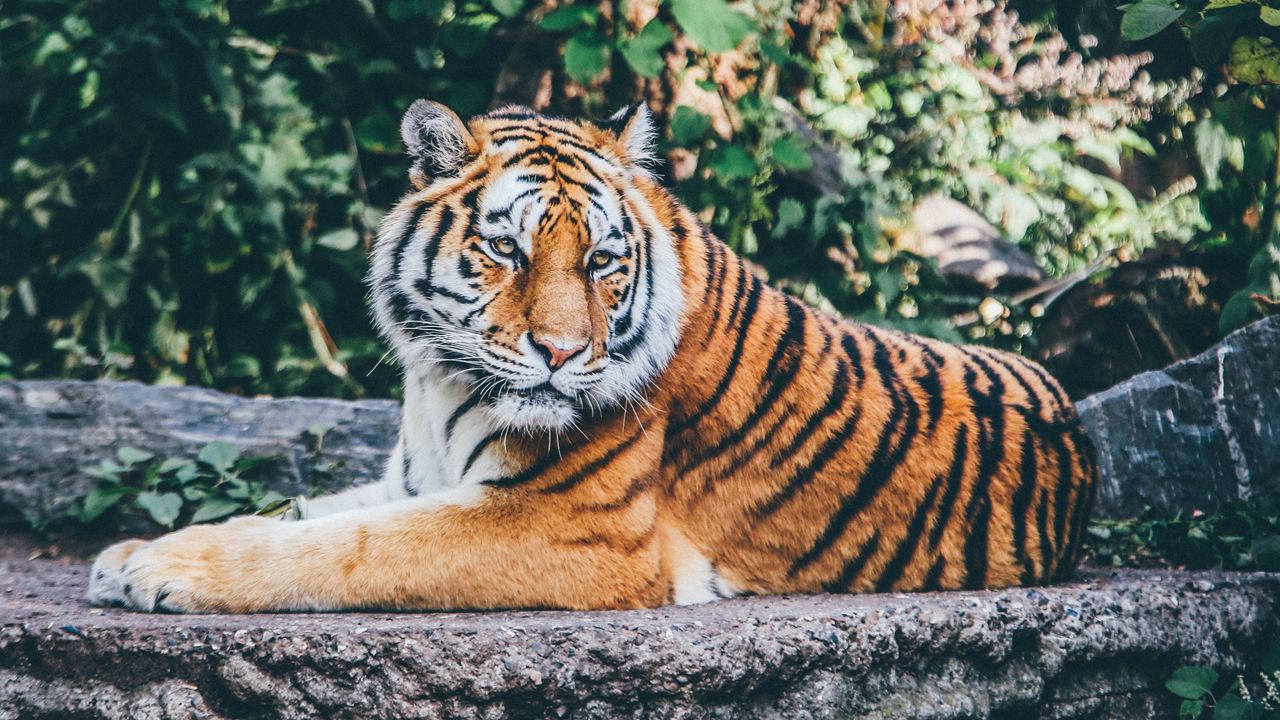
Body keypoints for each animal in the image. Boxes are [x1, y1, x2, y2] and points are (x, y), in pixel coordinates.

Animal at [87, 101, 1097, 613]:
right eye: (507, 250)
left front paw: (164, 571)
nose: (563, 353)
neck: (437, 382)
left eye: (603, 261)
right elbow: (302, 513)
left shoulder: (568, 527)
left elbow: (347, 548)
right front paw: (132, 552)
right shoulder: (413, 478)